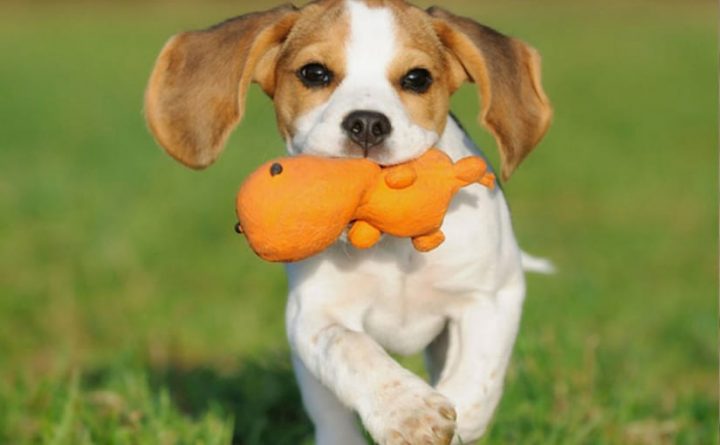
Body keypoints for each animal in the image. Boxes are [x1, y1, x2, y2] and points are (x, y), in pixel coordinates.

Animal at [145, 0, 552, 444]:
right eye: (314, 73)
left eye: (417, 78)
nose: (368, 124)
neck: (386, 238)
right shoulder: (312, 315)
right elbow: (353, 349)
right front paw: (408, 411)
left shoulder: (492, 296)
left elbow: (477, 378)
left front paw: (456, 419)